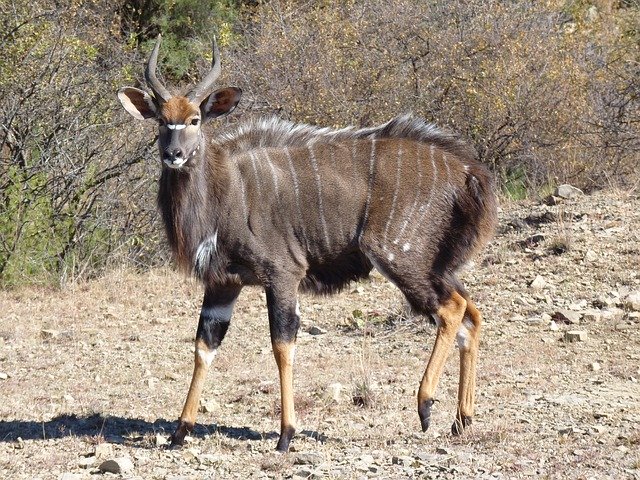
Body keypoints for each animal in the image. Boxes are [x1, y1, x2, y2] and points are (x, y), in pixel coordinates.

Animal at [117, 35, 498, 452]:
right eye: (160, 120)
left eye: (194, 120)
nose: (174, 154)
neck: (227, 188)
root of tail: (468, 172)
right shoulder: (223, 283)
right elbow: (204, 347)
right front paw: (179, 431)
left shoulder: (283, 273)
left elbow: (282, 346)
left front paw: (286, 434)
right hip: (436, 265)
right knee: (471, 315)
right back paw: (462, 420)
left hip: (400, 257)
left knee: (452, 309)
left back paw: (426, 405)